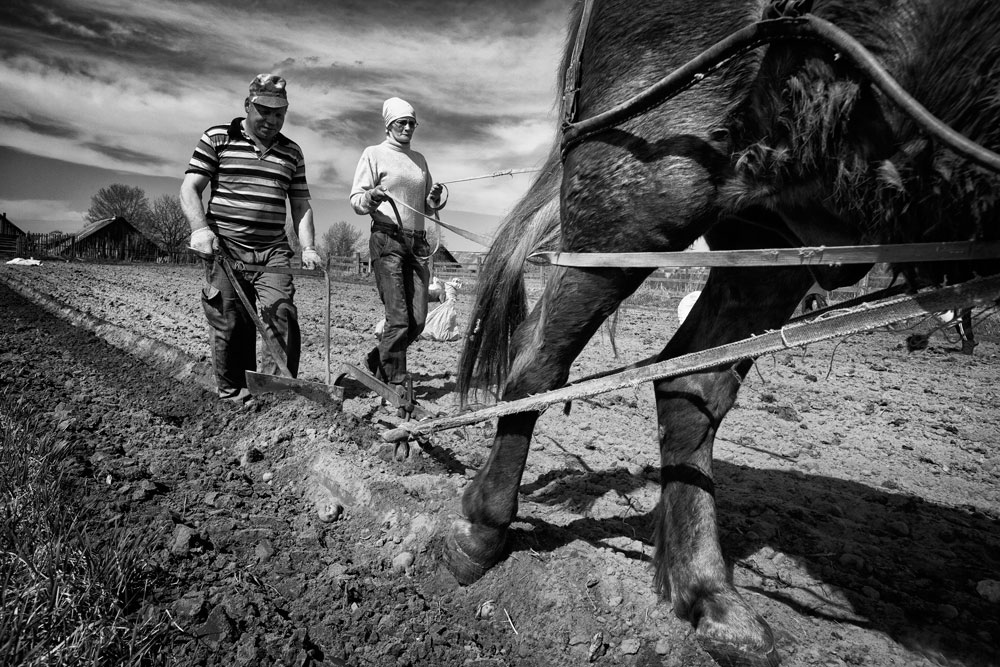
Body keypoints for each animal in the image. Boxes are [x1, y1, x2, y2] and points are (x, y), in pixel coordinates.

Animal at [452, 1, 1000, 667]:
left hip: (770, 228)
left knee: (691, 382)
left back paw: (709, 595)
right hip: (644, 192)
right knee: (539, 358)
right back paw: (479, 531)